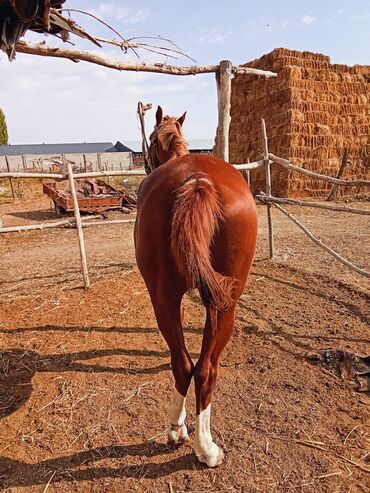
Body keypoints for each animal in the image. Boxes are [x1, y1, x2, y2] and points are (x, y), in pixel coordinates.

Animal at [134, 106, 258, 466]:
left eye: (150, 139)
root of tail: (198, 180)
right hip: (224, 302)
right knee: (203, 369)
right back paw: (205, 447)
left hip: (166, 299)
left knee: (184, 365)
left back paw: (180, 431)